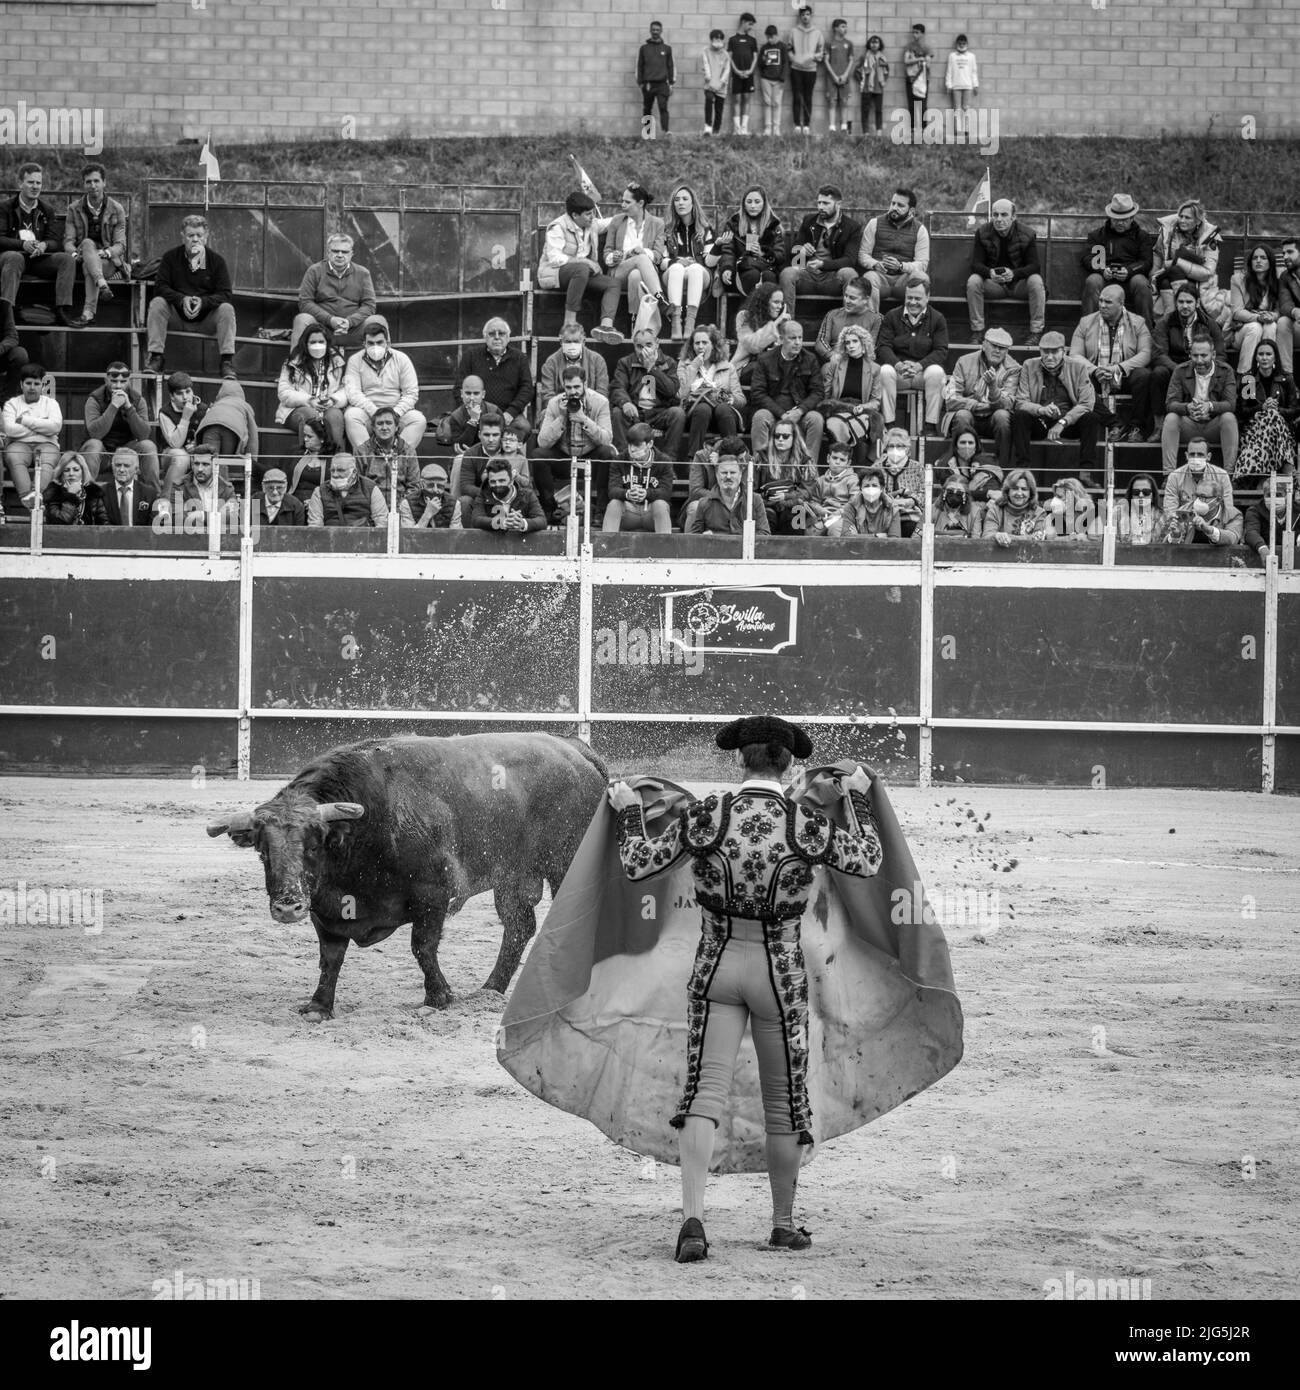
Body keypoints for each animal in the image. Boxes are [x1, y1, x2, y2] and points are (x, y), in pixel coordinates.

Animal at [205, 733, 606, 1017]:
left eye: (315, 844)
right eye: (262, 850)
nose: (288, 907)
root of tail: (574, 750)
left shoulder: (433, 895)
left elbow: (422, 947)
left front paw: (438, 997)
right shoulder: (325, 908)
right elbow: (330, 957)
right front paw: (319, 1006)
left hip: (565, 864)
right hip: (513, 877)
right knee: (519, 927)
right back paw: (490, 990)